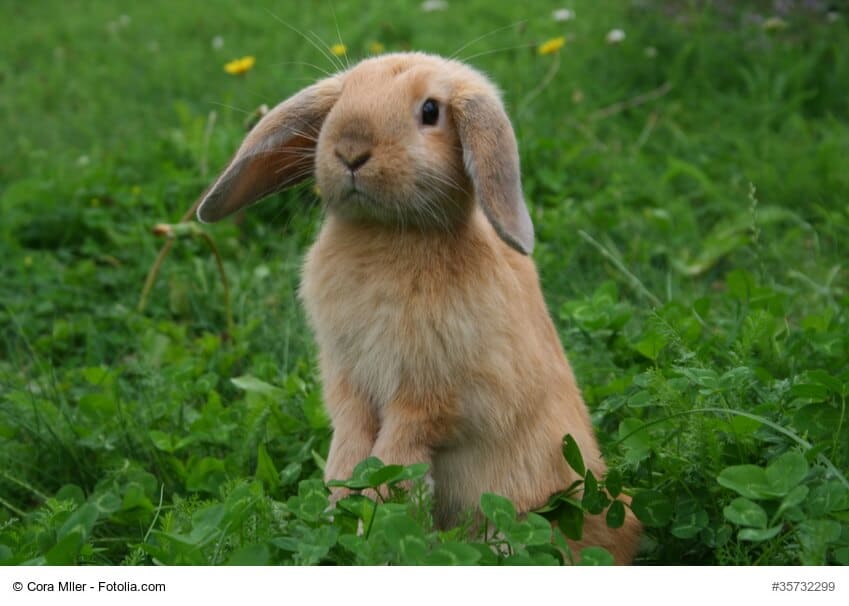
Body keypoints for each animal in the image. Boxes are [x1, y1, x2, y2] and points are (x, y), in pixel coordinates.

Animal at [196, 52, 640, 564]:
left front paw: (370, 517)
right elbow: (349, 441)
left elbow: (395, 456)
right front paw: (337, 504)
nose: (350, 149)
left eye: (430, 111)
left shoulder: (433, 395)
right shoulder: (348, 379)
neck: (388, 231)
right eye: (341, 100)